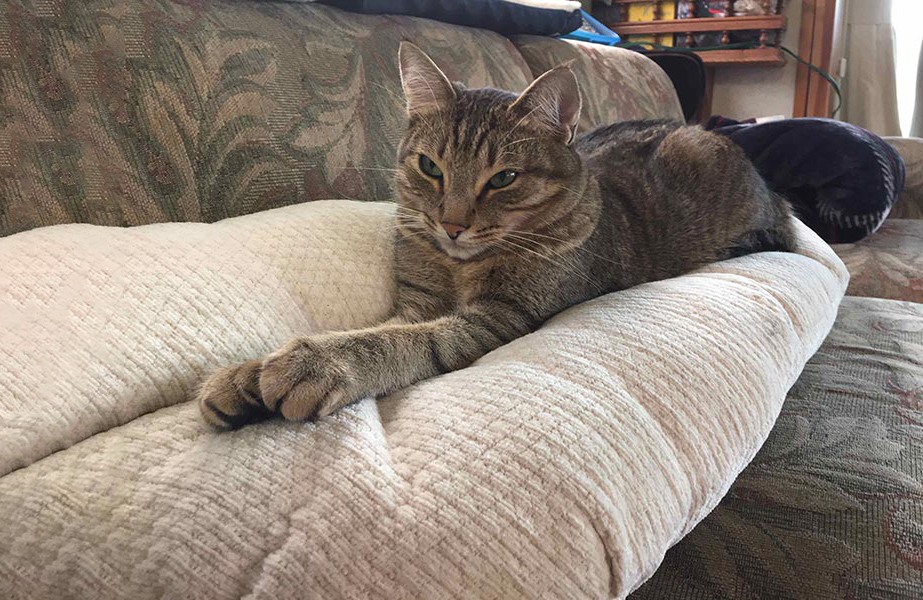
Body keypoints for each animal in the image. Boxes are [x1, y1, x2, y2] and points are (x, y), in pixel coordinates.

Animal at [199, 42, 796, 428]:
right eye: (430, 167)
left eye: (504, 178)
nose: (452, 223)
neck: (459, 264)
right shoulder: (417, 301)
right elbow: (378, 328)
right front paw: (249, 374)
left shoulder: (500, 317)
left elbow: (402, 341)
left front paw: (316, 362)